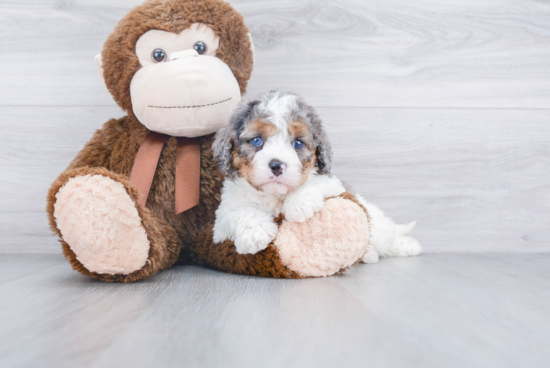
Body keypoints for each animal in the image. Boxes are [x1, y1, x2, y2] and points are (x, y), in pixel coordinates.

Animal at [211, 90, 422, 262]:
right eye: (256, 140)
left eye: (297, 144)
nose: (277, 165)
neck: (275, 196)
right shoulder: (221, 220)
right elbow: (239, 212)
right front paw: (256, 233)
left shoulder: (334, 184)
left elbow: (315, 182)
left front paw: (298, 205)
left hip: (376, 224)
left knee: (386, 237)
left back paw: (408, 246)